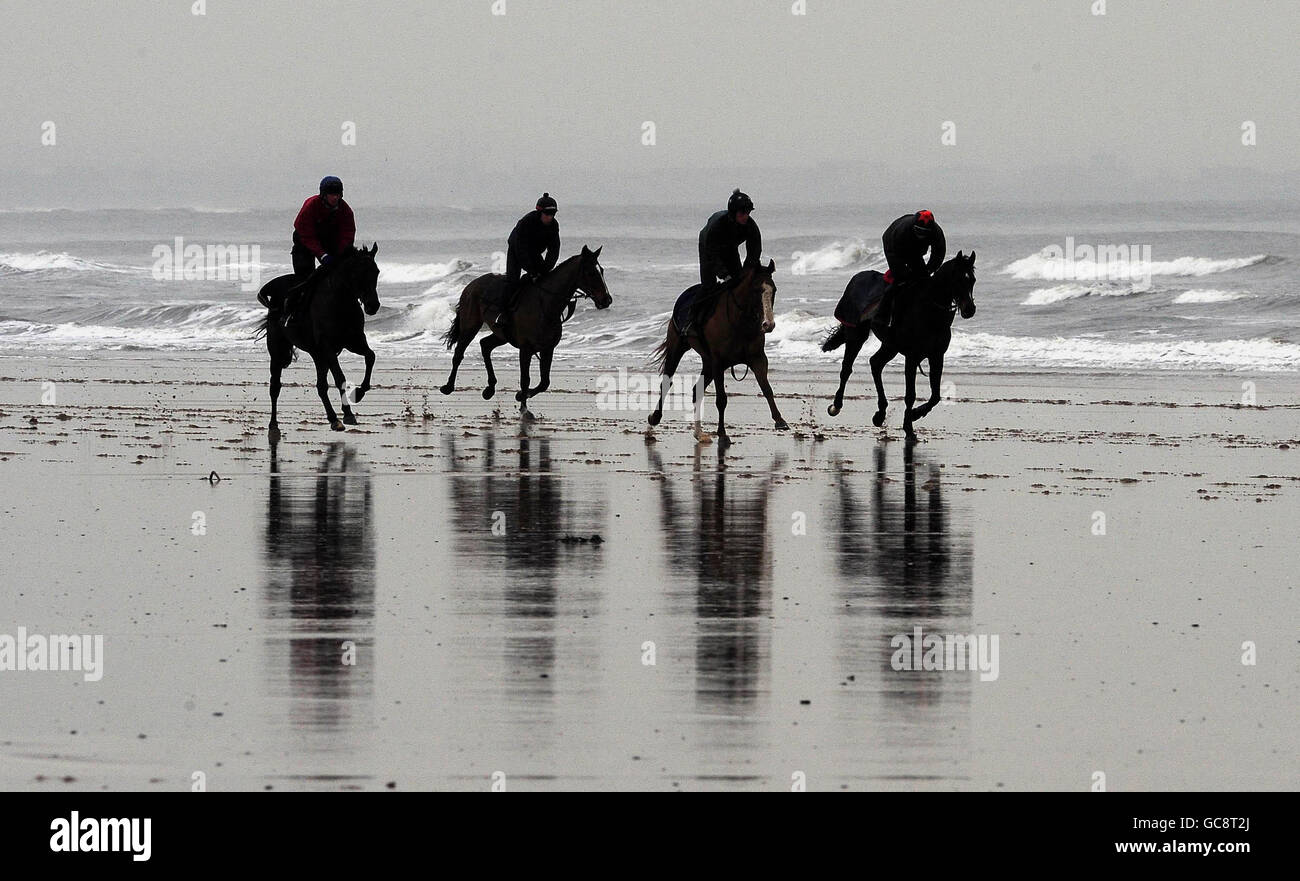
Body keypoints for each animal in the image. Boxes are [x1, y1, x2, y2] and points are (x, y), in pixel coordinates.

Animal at [250, 242, 379, 439]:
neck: (340, 303)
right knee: (275, 386)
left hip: (318, 355)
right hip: (279, 349)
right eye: (358, 273)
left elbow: (370, 356)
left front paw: (359, 393)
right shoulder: (327, 346)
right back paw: (273, 425)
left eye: (377, 272)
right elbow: (340, 377)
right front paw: (348, 413)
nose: (373, 306)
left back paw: (334, 419)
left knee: (321, 386)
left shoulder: (354, 342)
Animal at [647, 258, 785, 444]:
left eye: (774, 290)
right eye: (757, 290)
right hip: (678, 347)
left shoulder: (757, 359)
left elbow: (767, 389)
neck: (739, 323)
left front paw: (780, 420)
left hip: (708, 362)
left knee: (696, 390)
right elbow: (721, 399)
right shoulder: (719, 362)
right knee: (666, 382)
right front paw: (722, 433)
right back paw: (653, 420)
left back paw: (699, 433)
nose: (768, 325)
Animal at [821, 250, 977, 439]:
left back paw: (880, 414)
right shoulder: (912, 356)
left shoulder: (937, 355)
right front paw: (909, 426)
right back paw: (836, 405)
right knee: (847, 368)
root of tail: (857, 277)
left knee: (876, 363)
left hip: (890, 345)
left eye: (972, 280)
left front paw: (915, 414)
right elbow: (910, 395)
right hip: (857, 334)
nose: (969, 309)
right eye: (958, 279)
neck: (929, 312)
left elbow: (936, 396)